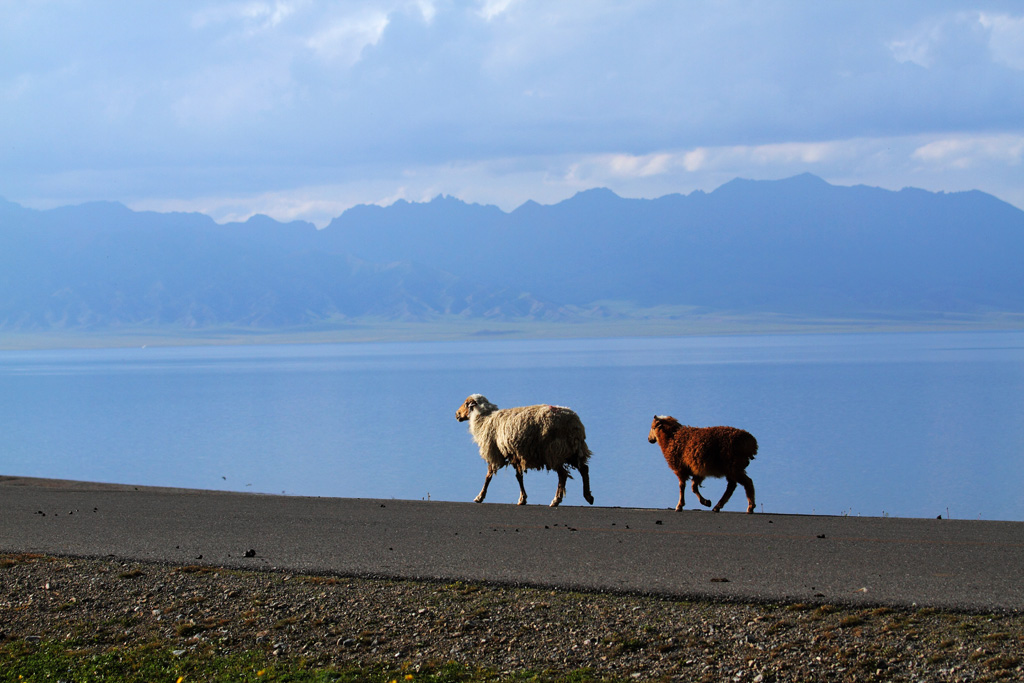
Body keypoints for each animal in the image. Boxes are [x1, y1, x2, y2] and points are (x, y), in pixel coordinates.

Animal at [454, 395, 593, 507]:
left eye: (466, 403)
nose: (456, 414)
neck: (484, 419)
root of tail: (575, 423)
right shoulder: (514, 453)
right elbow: (519, 477)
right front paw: (522, 499)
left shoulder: (494, 452)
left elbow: (488, 476)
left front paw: (479, 497)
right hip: (572, 450)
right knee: (584, 469)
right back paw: (588, 496)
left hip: (554, 451)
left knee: (563, 474)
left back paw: (556, 500)